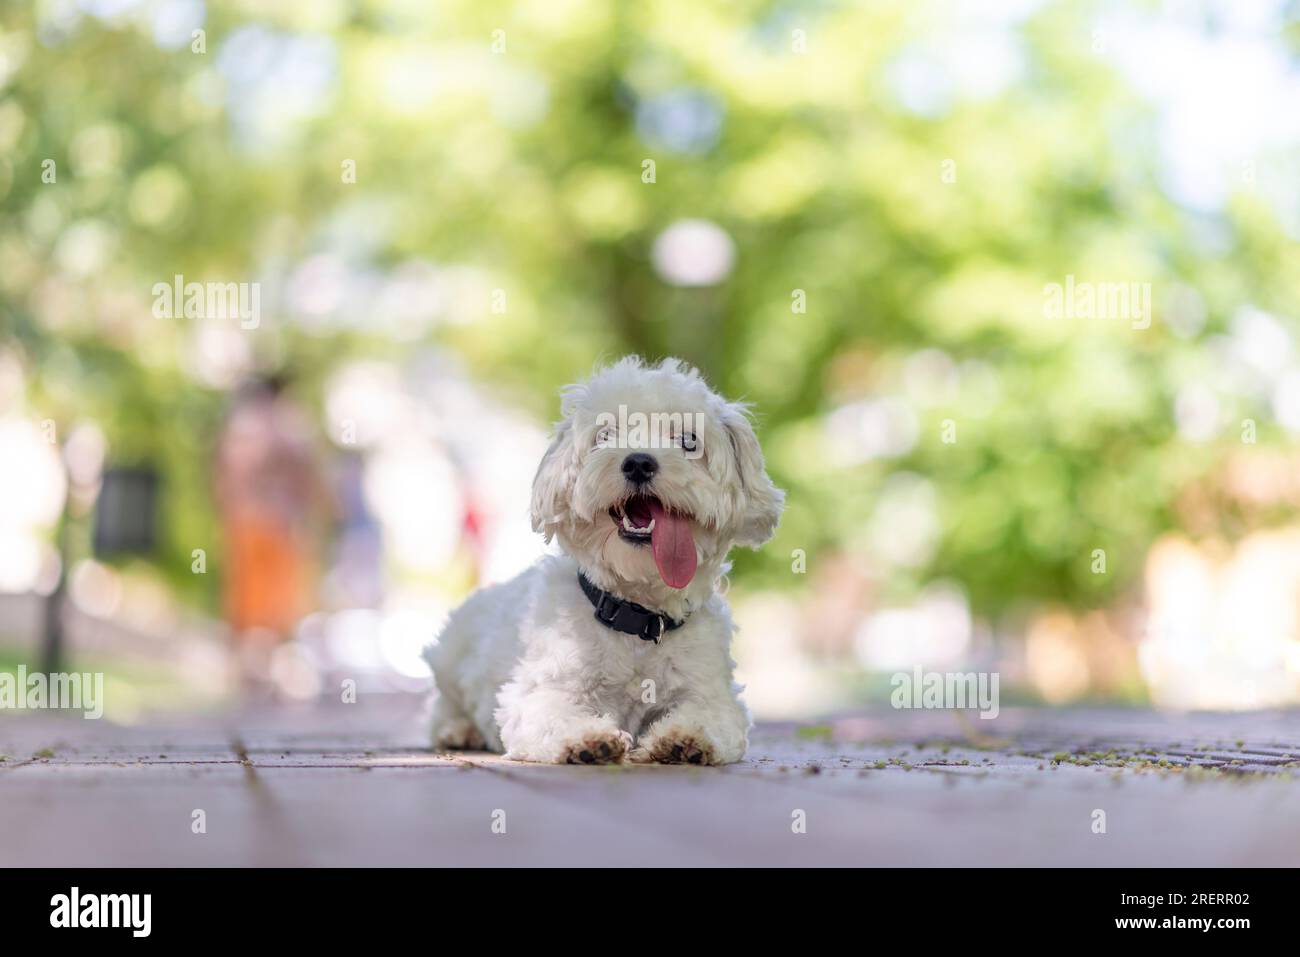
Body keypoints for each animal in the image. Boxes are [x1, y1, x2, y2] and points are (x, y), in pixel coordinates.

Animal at [423, 356, 780, 764]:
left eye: (689, 440)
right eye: (606, 434)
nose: (638, 462)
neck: (637, 617)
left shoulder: (713, 694)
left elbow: (709, 717)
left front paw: (683, 737)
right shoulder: (537, 693)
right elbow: (551, 715)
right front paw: (586, 738)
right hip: (449, 655)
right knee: (442, 707)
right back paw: (458, 729)